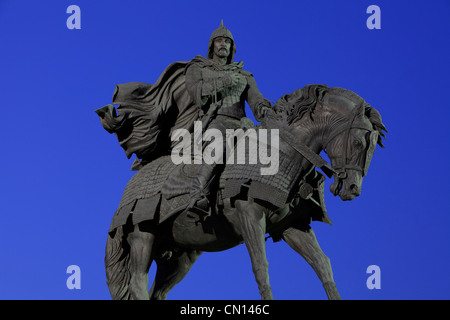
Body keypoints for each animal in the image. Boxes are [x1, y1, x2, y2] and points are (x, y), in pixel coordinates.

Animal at [103, 84, 386, 298]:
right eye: (359, 142)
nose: (352, 188)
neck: (283, 151)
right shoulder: (249, 214)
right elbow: (261, 267)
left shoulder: (292, 226)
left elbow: (323, 265)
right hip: (142, 236)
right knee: (137, 283)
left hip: (180, 255)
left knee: (157, 291)